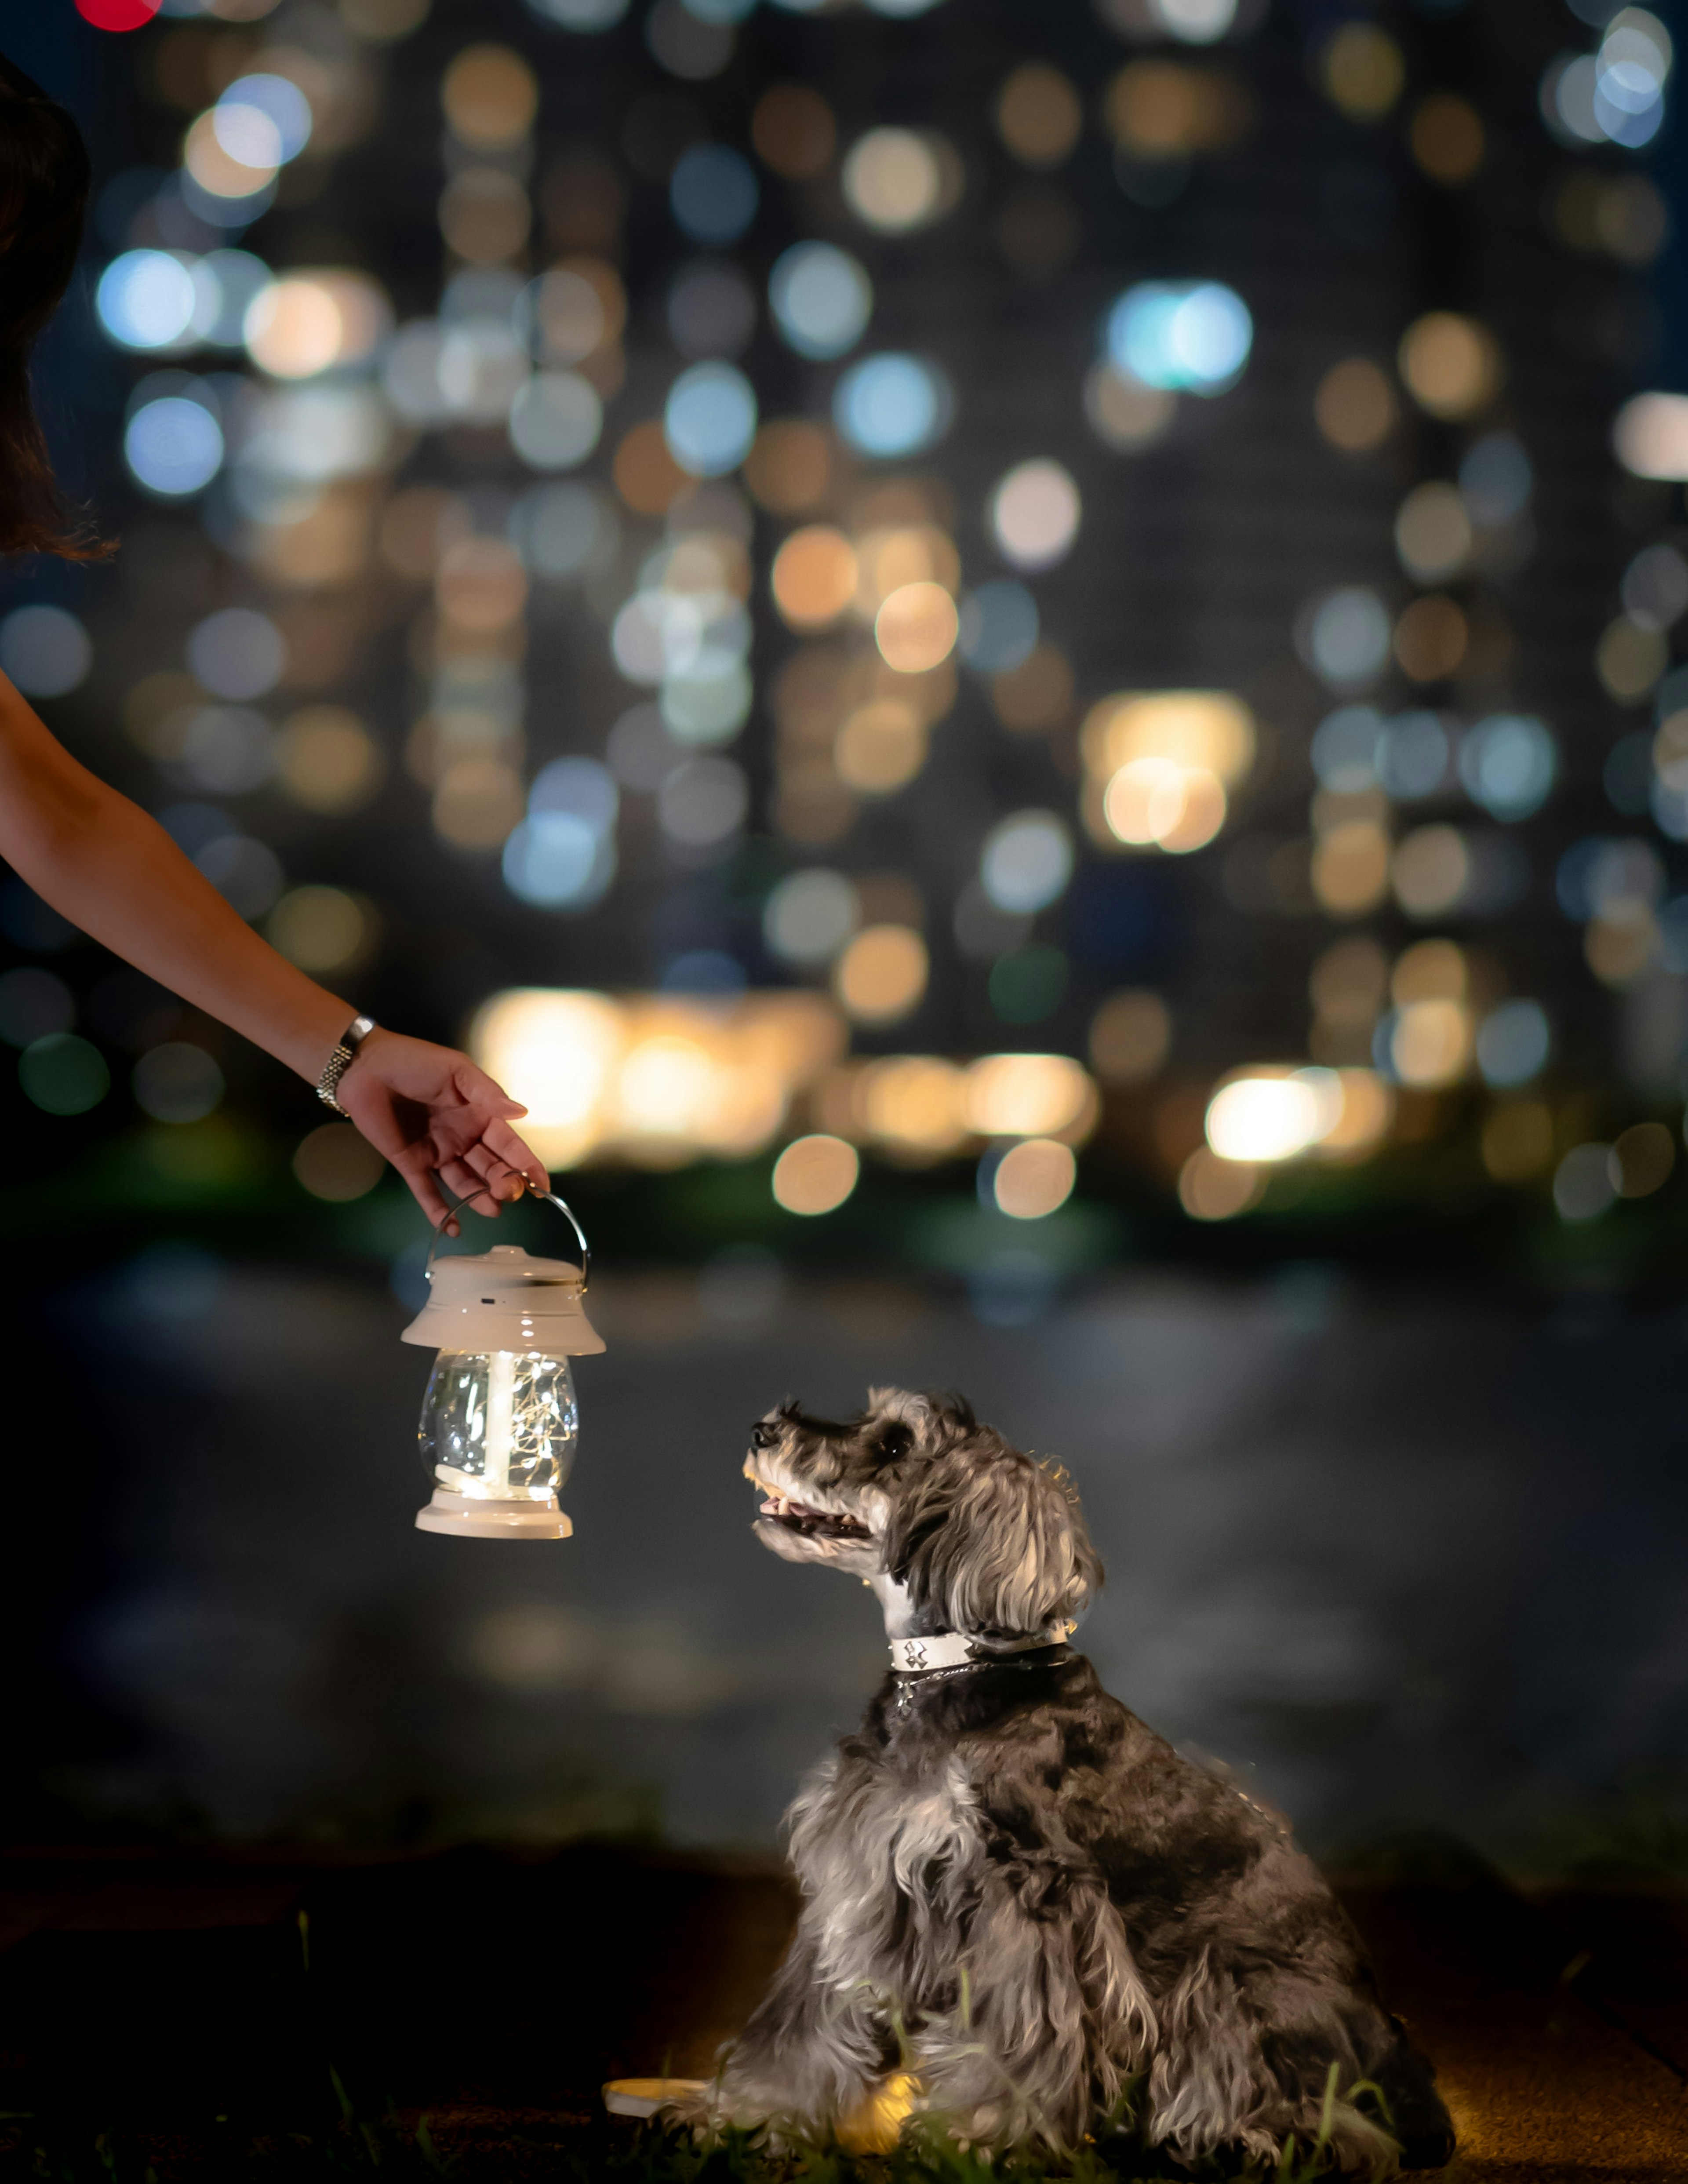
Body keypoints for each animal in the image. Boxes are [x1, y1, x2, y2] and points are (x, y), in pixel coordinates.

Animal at [685, 1389, 1450, 2175]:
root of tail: (1412, 2076)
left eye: (898, 1445)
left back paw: (1239, 2141)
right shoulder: (863, 1881)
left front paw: (975, 2137)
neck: (959, 1664)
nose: (764, 1429)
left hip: (1235, 1985)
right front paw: (751, 2118)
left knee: (1337, 2126)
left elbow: (1014, 2039)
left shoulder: (1023, 1897)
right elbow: (804, 2022)